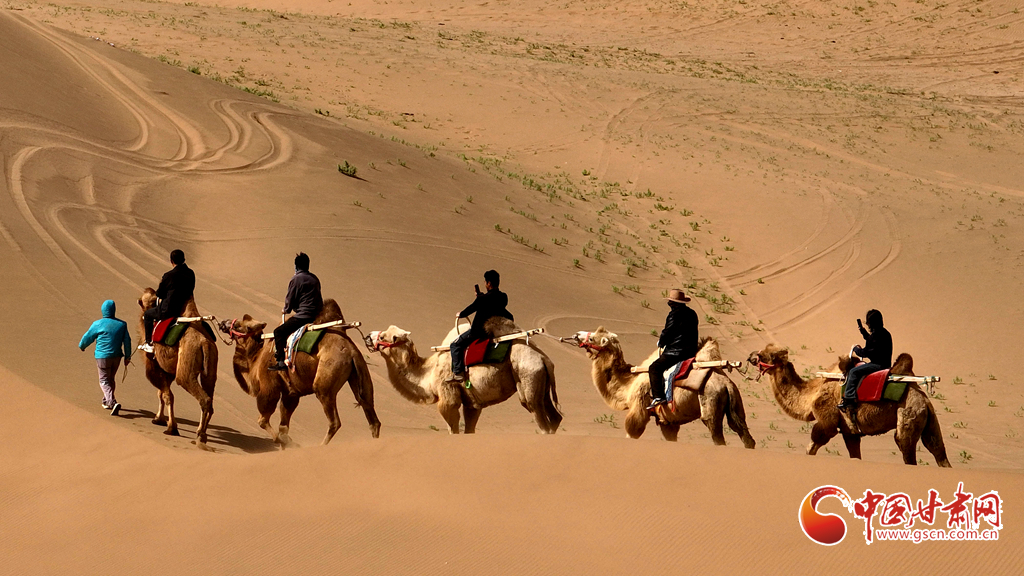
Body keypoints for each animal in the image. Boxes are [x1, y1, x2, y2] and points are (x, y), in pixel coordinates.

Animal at [137, 288, 217, 448]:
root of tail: (204, 343)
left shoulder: (155, 366)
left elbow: (167, 395)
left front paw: (170, 427)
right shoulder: (167, 370)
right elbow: (162, 393)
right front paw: (160, 419)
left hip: (186, 370)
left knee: (203, 398)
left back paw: (200, 435)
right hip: (211, 369)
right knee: (210, 398)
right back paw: (202, 434)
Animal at [217, 300, 381, 446]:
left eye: (238, 325)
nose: (223, 323)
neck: (256, 359)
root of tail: (351, 352)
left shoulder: (269, 386)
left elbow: (263, 420)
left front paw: (283, 442)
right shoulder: (291, 392)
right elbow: (283, 425)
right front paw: (286, 441)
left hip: (325, 382)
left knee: (335, 421)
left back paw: (321, 446)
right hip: (360, 374)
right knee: (371, 415)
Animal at [367, 318, 561, 434]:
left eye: (383, 336)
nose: (368, 336)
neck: (429, 373)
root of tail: (544, 358)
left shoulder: (448, 397)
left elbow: (452, 428)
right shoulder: (472, 404)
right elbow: (470, 429)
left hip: (528, 376)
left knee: (537, 414)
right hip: (542, 383)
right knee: (555, 417)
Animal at [566, 327, 756, 447]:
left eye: (592, 338)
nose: (576, 334)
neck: (628, 384)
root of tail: (726, 383)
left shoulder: (639, 408)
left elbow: (632, 430)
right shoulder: (668, 421)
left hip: (710, 404)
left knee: (718, 437)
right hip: (735, 404)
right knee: (744, 435)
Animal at [748, 344, 951, 466]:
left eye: (768, 355)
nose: (751, 356)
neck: (811, 394)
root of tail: (923, 398)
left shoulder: (826, 421)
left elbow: (811, 446)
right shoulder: (849, 432)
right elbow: (855, 455)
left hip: (908, 414)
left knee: (906, 447)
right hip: (929, 420)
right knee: (938, 450)